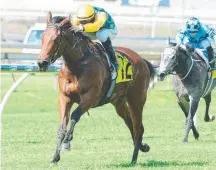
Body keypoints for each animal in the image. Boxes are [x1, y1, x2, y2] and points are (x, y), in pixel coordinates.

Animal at [36, 11, 155, 163]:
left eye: (57, 38)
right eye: (42, 36)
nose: (42, 63)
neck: (77, 67)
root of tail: (142, 59)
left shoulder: (90, 98)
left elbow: (75, 115)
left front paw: (67, 143)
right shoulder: (64, 98)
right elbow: (62, 126)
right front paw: (55, 157)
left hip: (136, 100)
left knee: (137, 126)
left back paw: (134, 159)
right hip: (119, 102)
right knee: (131, 123)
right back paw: (141, 147)